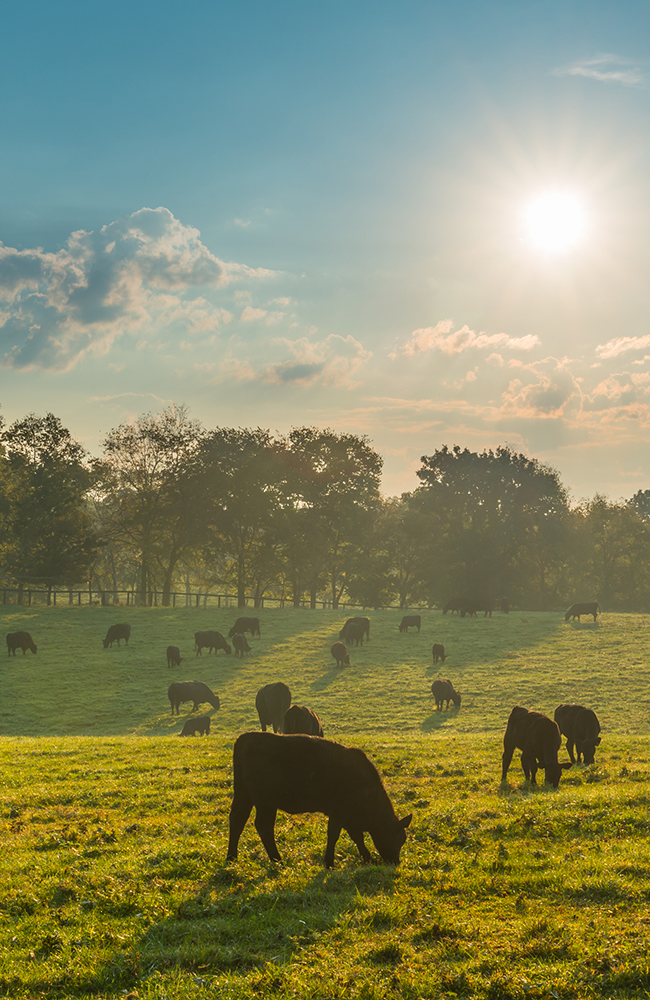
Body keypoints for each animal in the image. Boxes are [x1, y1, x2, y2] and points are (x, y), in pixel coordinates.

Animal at [225, 728, 412, 868]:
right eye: (401, 837)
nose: (396, 862)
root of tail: (247, 737)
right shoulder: (339, 812)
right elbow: (334, 835)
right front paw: (329, 862)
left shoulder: (349, 817)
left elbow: (356, 836)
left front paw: (366, 858)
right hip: (266, 802)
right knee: (263, 826)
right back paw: (278, 860)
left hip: (244, 795)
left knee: (237, 820)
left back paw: (232, 857)